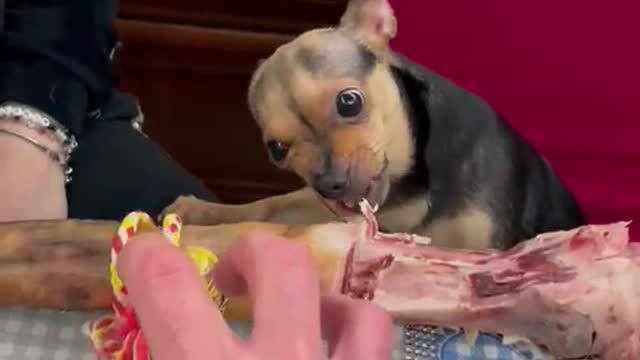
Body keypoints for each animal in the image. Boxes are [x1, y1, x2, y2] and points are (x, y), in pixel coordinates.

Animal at [164, 0, 584, 250]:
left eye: (349, 102)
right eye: (276, 150)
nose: (329, 184)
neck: (409, 189)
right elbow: (269, 207)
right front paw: (205, 216)